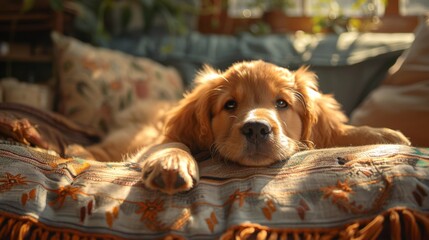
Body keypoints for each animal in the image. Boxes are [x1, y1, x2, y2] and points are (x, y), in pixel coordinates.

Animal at [86, 60, 408, 195]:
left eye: (282, 103)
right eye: (229, 105)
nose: (256, 129)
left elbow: (339, 132)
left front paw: (383, 135)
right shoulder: (157, 140)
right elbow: (174, 142)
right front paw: (172, 163)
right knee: (99, 148)